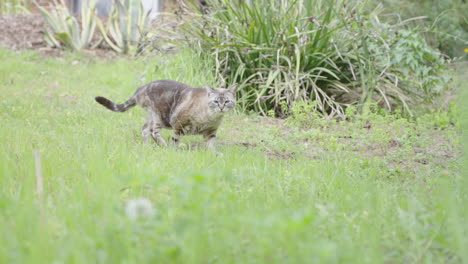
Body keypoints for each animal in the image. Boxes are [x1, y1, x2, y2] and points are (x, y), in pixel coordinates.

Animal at [94, 78, 236, 148]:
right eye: (216, 101)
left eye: (227, 101)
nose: (221, 107)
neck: (211, 117)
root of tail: (140, 88)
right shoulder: (179, 126)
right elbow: (175, 141)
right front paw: (173, 152)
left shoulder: (211, 133)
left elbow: (212, 147)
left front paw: (214, 156)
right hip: (159, 117)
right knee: (153, 132)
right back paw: (163, 145)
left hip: (151, 116)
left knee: (144, 130)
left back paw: (148, 147)